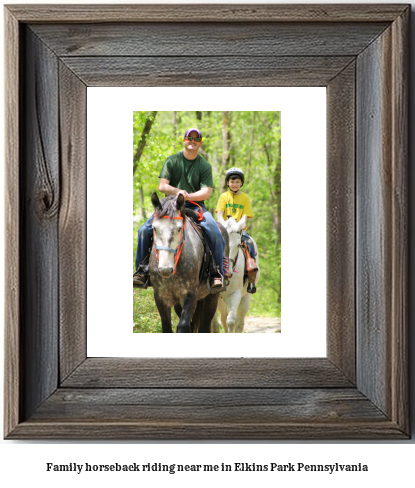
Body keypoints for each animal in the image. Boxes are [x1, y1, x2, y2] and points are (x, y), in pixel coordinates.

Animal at [150, 193, 229, 334]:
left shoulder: (191, 295)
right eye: (154, 227)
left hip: (212, 296)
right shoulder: (160, 297)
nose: (165, 269)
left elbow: (183, 327)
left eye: (179, 229)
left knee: (205, 327)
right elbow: (167, 328)